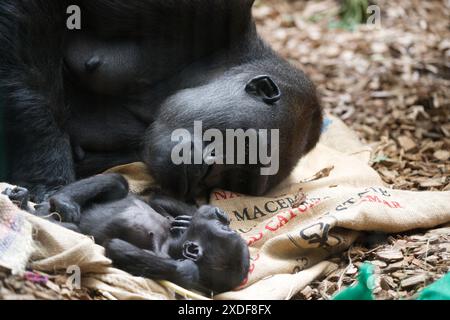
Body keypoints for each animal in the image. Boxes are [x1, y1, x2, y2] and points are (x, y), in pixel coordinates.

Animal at [2, 174, 250, 294]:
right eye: (226, 228)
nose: (222, 216)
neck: (172, 241)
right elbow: (156, 200)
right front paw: (186, 220)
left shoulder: (161, 253)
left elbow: (116, 247)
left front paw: (187, 270)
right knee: (117, 184)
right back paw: (58, 201)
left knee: (74, 231)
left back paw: (24, 207)